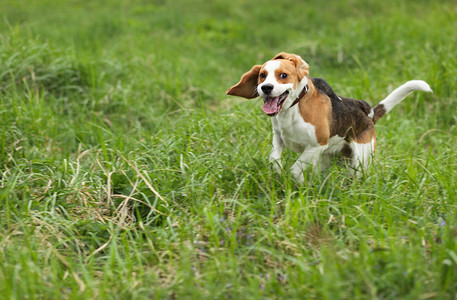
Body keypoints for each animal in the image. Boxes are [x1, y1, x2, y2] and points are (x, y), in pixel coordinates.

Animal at [227, 52, 432, 182]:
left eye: (283, 75)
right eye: (262, 75)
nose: (266, 88)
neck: (291, 110)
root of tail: (368, 114)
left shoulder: (316, 145)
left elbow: (296, 168)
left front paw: (297, 181)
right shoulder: (279, 137)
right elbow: (274, 159)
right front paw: (279, 173)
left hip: (360, 162)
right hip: (329, 158)